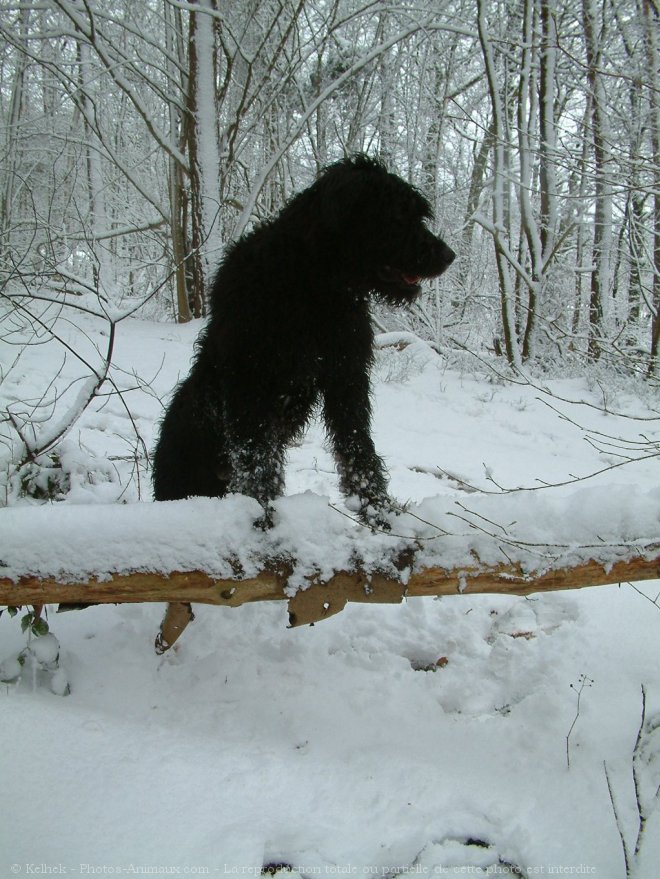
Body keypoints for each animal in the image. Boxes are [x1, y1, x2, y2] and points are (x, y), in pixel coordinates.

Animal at [153, 156, 456, 528]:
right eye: (398, 216)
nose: (448, 255)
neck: (313, 284)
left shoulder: (347, 377)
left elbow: (357, 448)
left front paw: (378, 510)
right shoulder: (248, 384)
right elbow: (256, 458)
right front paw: (262, 514)